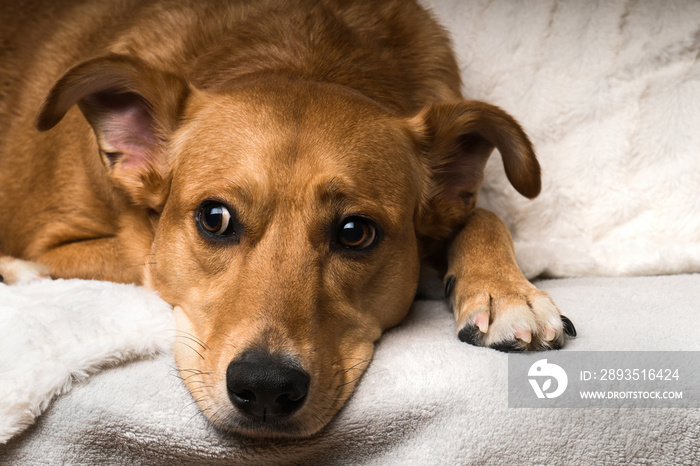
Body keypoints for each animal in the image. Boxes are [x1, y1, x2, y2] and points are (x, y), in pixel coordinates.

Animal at [0, 0, 576, 436]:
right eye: (214, 218)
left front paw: (508, 290)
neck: (305, 57)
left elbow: (485, 215)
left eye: (355, 233)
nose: (264, 389)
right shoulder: (61, 244)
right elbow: (141, 257)